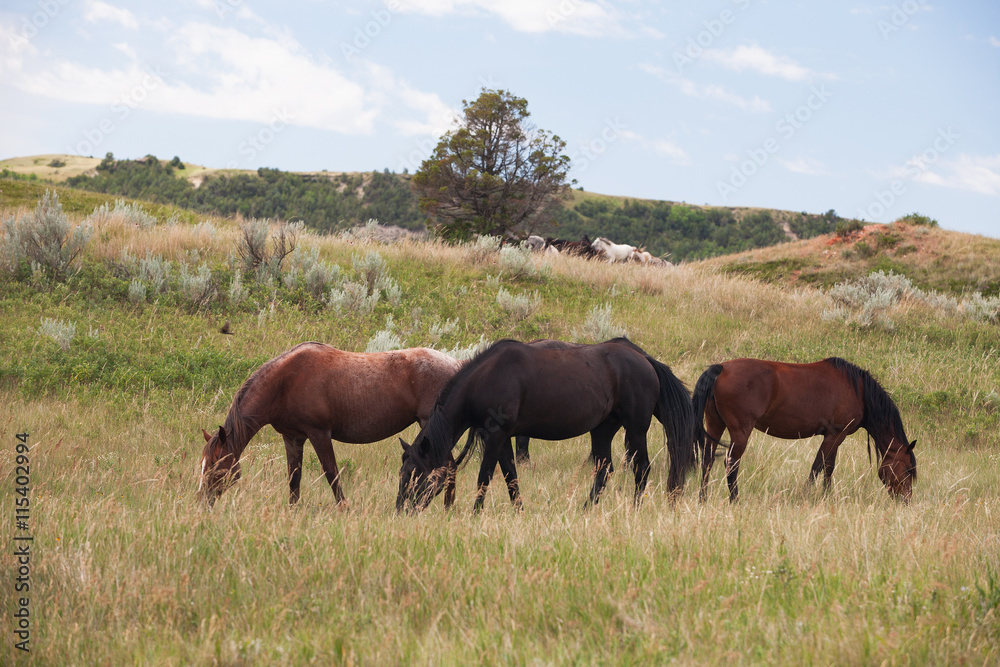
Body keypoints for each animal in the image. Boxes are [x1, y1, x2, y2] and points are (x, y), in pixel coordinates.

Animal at [198, 344, 460, 506]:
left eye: (214, 466)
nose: (202, 501)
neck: (284, 383)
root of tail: (456, 365)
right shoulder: (292, 437)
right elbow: (294, 477)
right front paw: (292, 510)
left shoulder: (319, 433)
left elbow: (331, 472)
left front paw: (344, 506)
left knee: (448, 467)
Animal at [396, 336, 696, 516]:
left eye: (415, 475)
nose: (401, 510)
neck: (487, 378)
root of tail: (646, 361)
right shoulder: (503, 439)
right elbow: (511, 476)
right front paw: (519, 511)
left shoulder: (495, 437)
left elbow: (485, 477)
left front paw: (475, 514)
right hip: (602, 430)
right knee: (604, 469)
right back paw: (585, 510)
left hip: (635, 428)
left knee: (641, 468)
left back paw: (633, 509)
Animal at [696, 358, 916, 504]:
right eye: (907, 469)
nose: (906, 501)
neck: (859, 391)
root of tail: (721, 368)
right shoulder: (835, 434)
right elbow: (819, 466)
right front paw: (808, 495)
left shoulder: (835, 437)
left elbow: (828, 467)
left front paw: (826, 496)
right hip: (740, 430)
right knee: (731, 463)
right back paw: (735, 500)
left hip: (715, 424)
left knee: (707, 459)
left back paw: (702, 498)